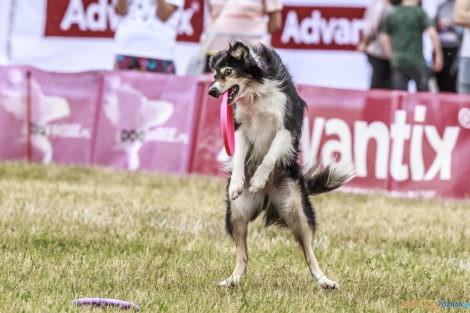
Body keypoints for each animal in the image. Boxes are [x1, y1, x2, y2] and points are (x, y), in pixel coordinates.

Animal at [207, 42, 354, 290]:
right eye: (214, 75)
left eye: (228, 72)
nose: (212, 91)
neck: (255, 93)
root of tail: (268, 195)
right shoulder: (241, 129)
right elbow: (238, 158)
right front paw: (237, 184)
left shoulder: (286, 125)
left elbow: (269, 155)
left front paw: (257, 180)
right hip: (237, 211)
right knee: (242, 253)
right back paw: (232, 280)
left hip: (296, 208)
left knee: (309, 251)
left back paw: (324, 281)